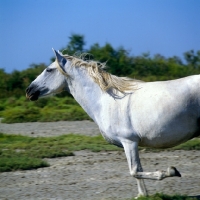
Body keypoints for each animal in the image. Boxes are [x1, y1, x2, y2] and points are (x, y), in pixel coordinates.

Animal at [26, 49, 200, 198]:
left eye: (49, 70)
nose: (29, 91)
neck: (107, 100)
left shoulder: (129, 141)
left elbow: (134, 171)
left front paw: (172, 171)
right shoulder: (130, 143)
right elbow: (138, 171)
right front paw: (142, 195)